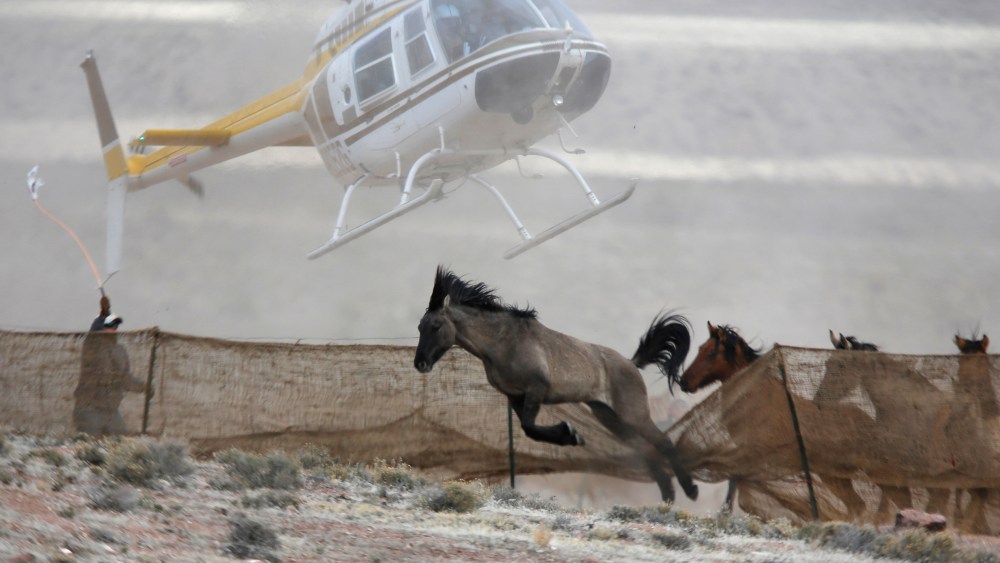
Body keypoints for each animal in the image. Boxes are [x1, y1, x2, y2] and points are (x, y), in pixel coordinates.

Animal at [413, 266, 699, 503]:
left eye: (435, 326)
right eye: (419, 327)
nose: (420, 364)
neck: (503, 343)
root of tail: (631, 363)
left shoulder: (536, 390)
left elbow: (530, 428)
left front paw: (571, 434)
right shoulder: (514, 396)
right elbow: (530, 430)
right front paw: (571, 435)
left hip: (633, 413)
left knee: (663, 442)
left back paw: (690, 490)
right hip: (609, 416)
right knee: (641, 448)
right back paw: (668, 494)